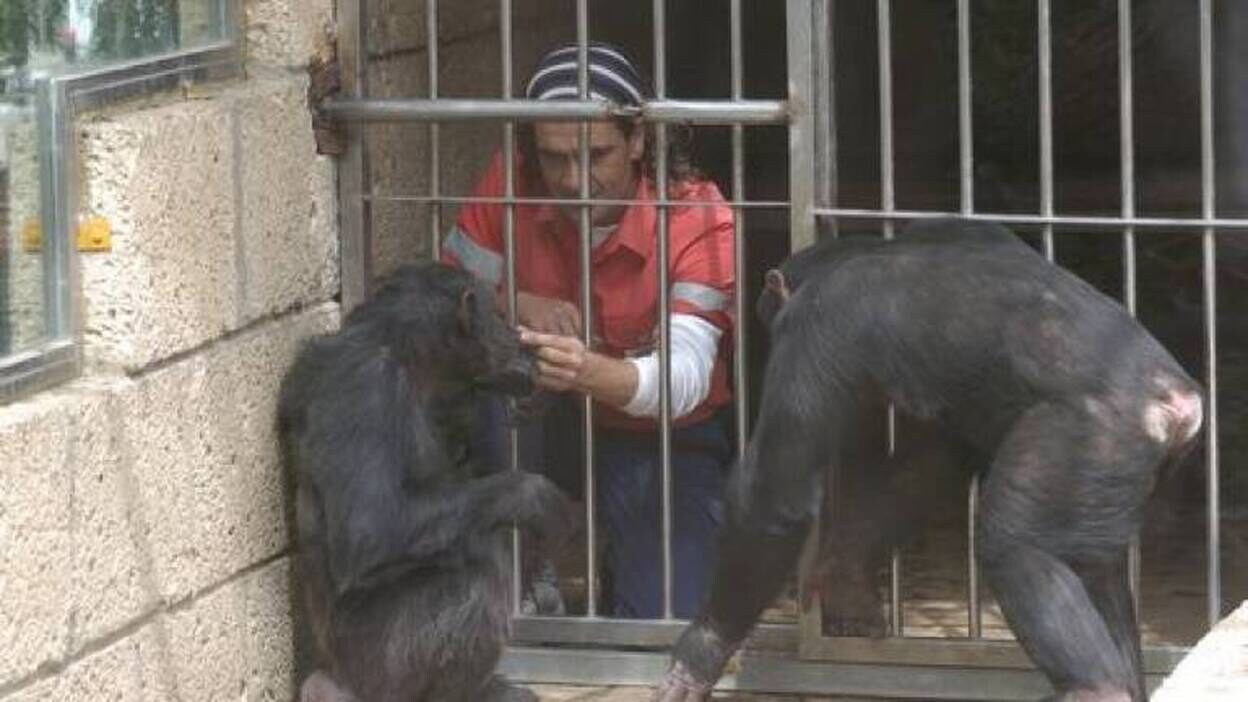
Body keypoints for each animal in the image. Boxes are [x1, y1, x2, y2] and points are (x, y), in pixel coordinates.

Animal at [279, 261, 574, 699]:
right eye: (498, 312)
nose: (515, 333)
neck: (409, 357)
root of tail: (332, 675)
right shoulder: (365, 386)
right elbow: (370, 528)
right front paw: (537, 497)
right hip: (379, 666)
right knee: (478, 577)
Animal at [658, 218, 1203, 699]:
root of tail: (1178, 404)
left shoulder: (814, 327)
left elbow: (776, 494)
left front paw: (698, 656)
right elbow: (929, 464)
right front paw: (847, 584)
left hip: (1089, 437)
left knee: (1015, 547)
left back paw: (1095, 688)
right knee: (1094, 567)